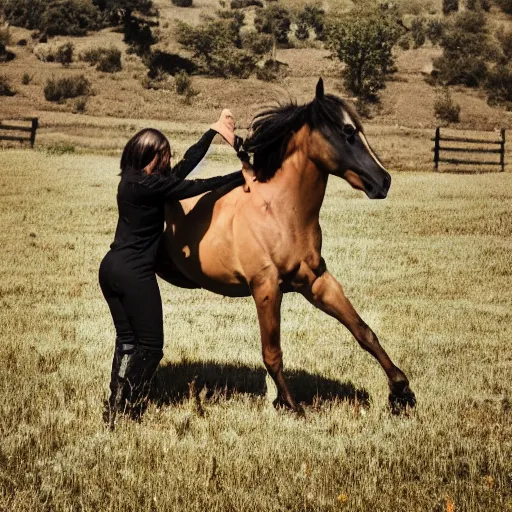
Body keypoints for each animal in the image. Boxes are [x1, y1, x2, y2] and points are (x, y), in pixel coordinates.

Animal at [158, 80, 418, 416]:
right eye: (347, 131)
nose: (383, 181)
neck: (280, 213)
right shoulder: (266, 287)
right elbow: (272, 352)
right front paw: (291, 405)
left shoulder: (316, 282)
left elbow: (363, 331)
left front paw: (401, 391)